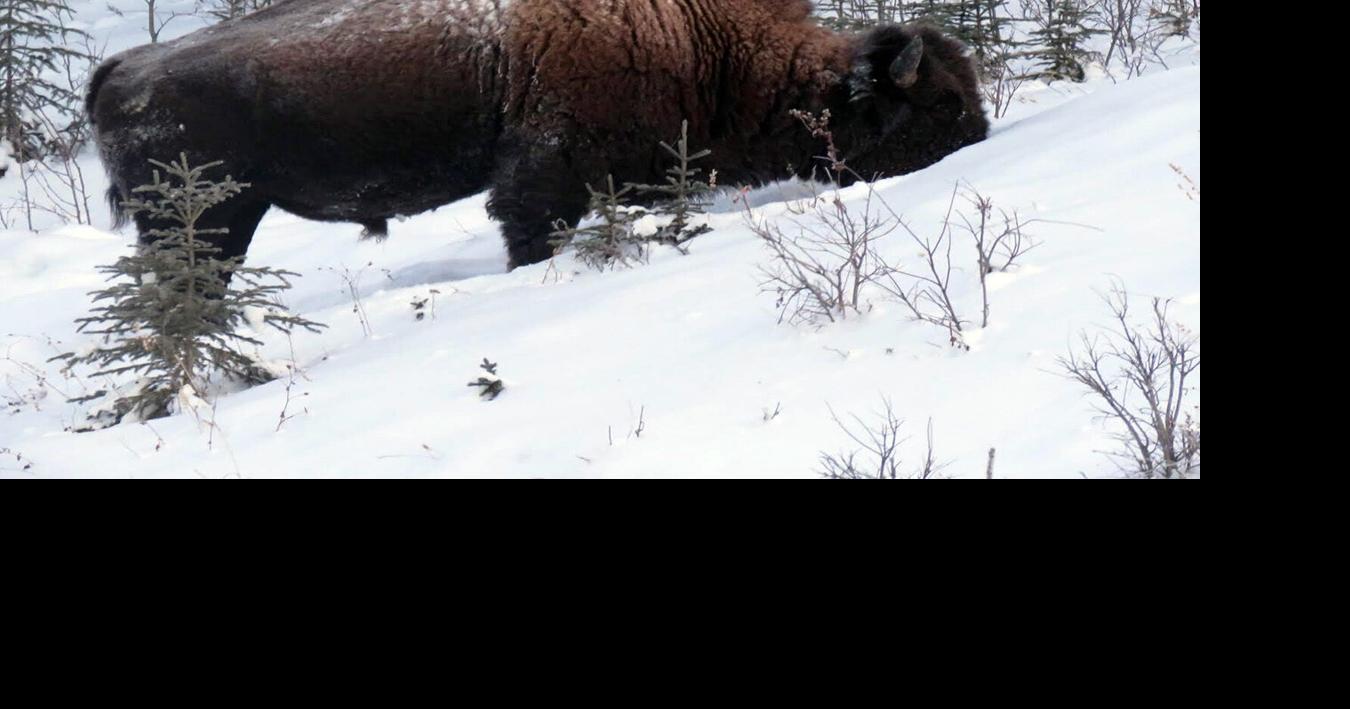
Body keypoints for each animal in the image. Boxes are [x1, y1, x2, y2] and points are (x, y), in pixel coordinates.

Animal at [87, 0, 989, 269]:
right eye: (940, 106)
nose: (985, 136)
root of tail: (123, 66)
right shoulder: (543, 175)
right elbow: (532, 230)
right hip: (207, 220)